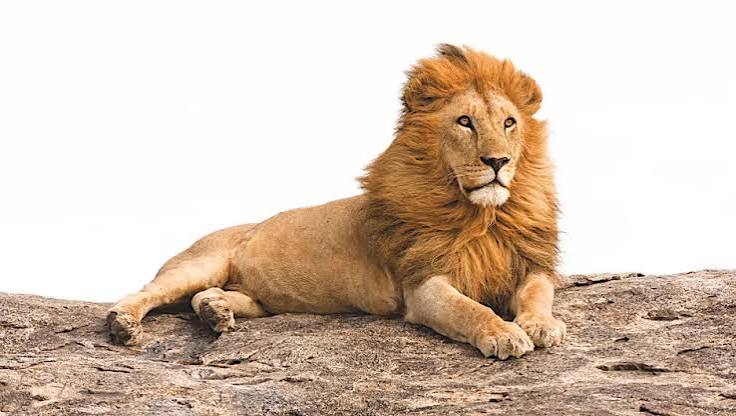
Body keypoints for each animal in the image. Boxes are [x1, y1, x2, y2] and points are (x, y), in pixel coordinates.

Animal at [108, 44, 565, 359]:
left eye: (509, 123)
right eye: (465, 122)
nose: (498, 161)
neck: (482, 216)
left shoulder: (527, 263)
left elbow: (539, 293)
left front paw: (542, 325)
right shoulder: (423, 284)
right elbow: (469, 309)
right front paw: (503, 333)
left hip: (259, 300)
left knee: (211, 295)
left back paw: (214, 312)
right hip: (200, 262)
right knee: (147, 291)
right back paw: (123, 324)